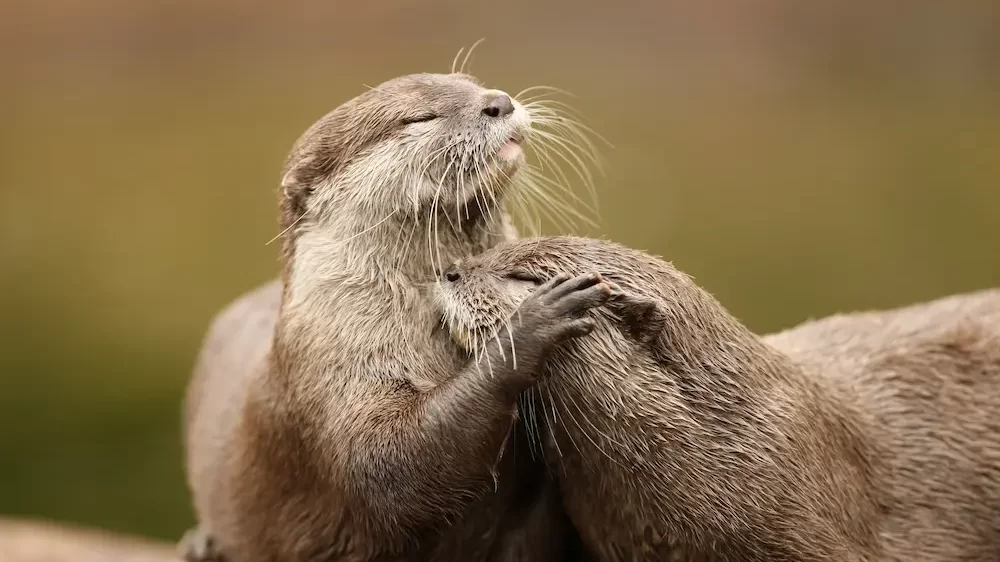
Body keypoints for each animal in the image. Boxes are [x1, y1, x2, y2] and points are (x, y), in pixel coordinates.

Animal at [183, 74, 604, 560]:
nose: (498, 102)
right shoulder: (334, 379)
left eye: (471, 84)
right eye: (418, 117)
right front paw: (530, 324)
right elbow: (388, 467)